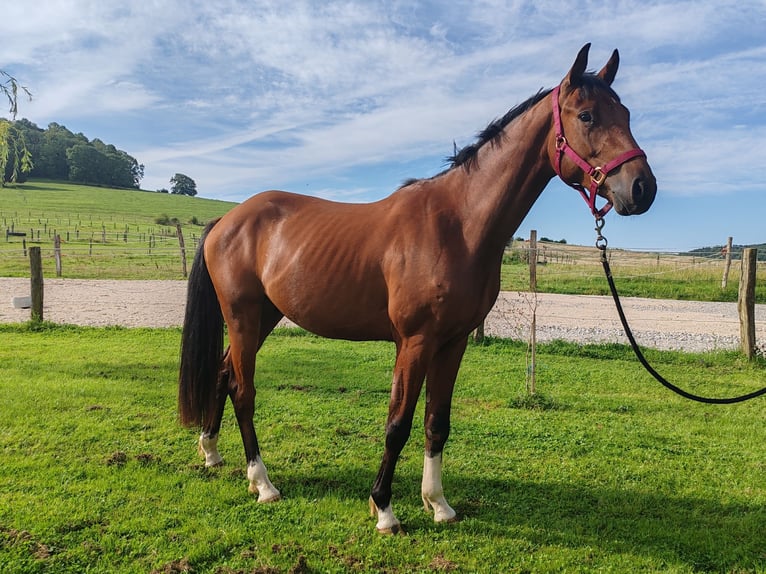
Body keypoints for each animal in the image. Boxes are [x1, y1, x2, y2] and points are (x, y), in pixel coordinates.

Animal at [178, 44, 660, 536]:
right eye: (586, 115)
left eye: (624, 113)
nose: (642, 188)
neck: (458, 224)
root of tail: (227, 220)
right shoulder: (414, 342)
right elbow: (398, 423)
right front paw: (384, 509)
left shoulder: (453, 343)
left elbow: (436, 422)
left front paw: (438, 504)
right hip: (243, 316)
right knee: (242, 390)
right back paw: (264, 483)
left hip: (265, 316)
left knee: (222, 374)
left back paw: (212, 453)